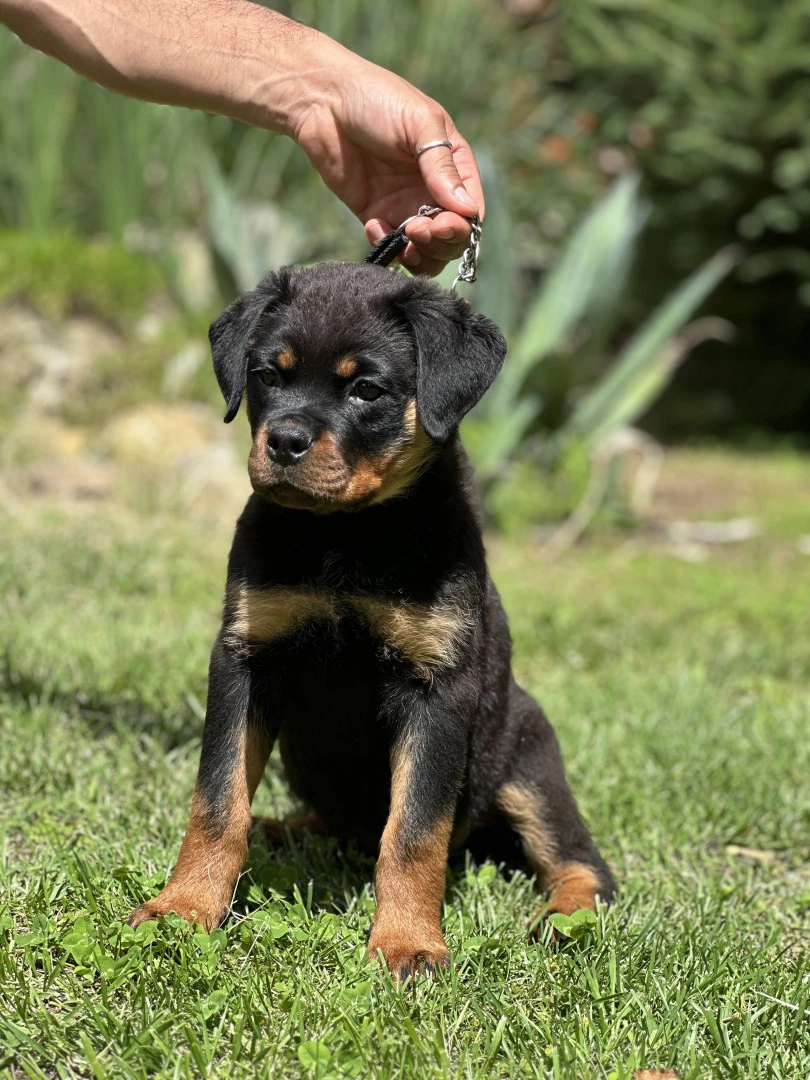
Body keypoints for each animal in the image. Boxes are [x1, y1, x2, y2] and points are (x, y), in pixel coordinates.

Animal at [130, 261, 613, 980]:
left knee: (580, 860)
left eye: (366, 389)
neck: (347, 535)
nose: (284, 441)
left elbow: (412, 832)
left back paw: (563, 918)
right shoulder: (246, 658)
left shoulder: (437, 686)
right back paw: (281, 829)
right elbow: (218, 800)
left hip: (528, 756)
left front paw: (407, 943)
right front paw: (184, 906)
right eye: (268, 376)